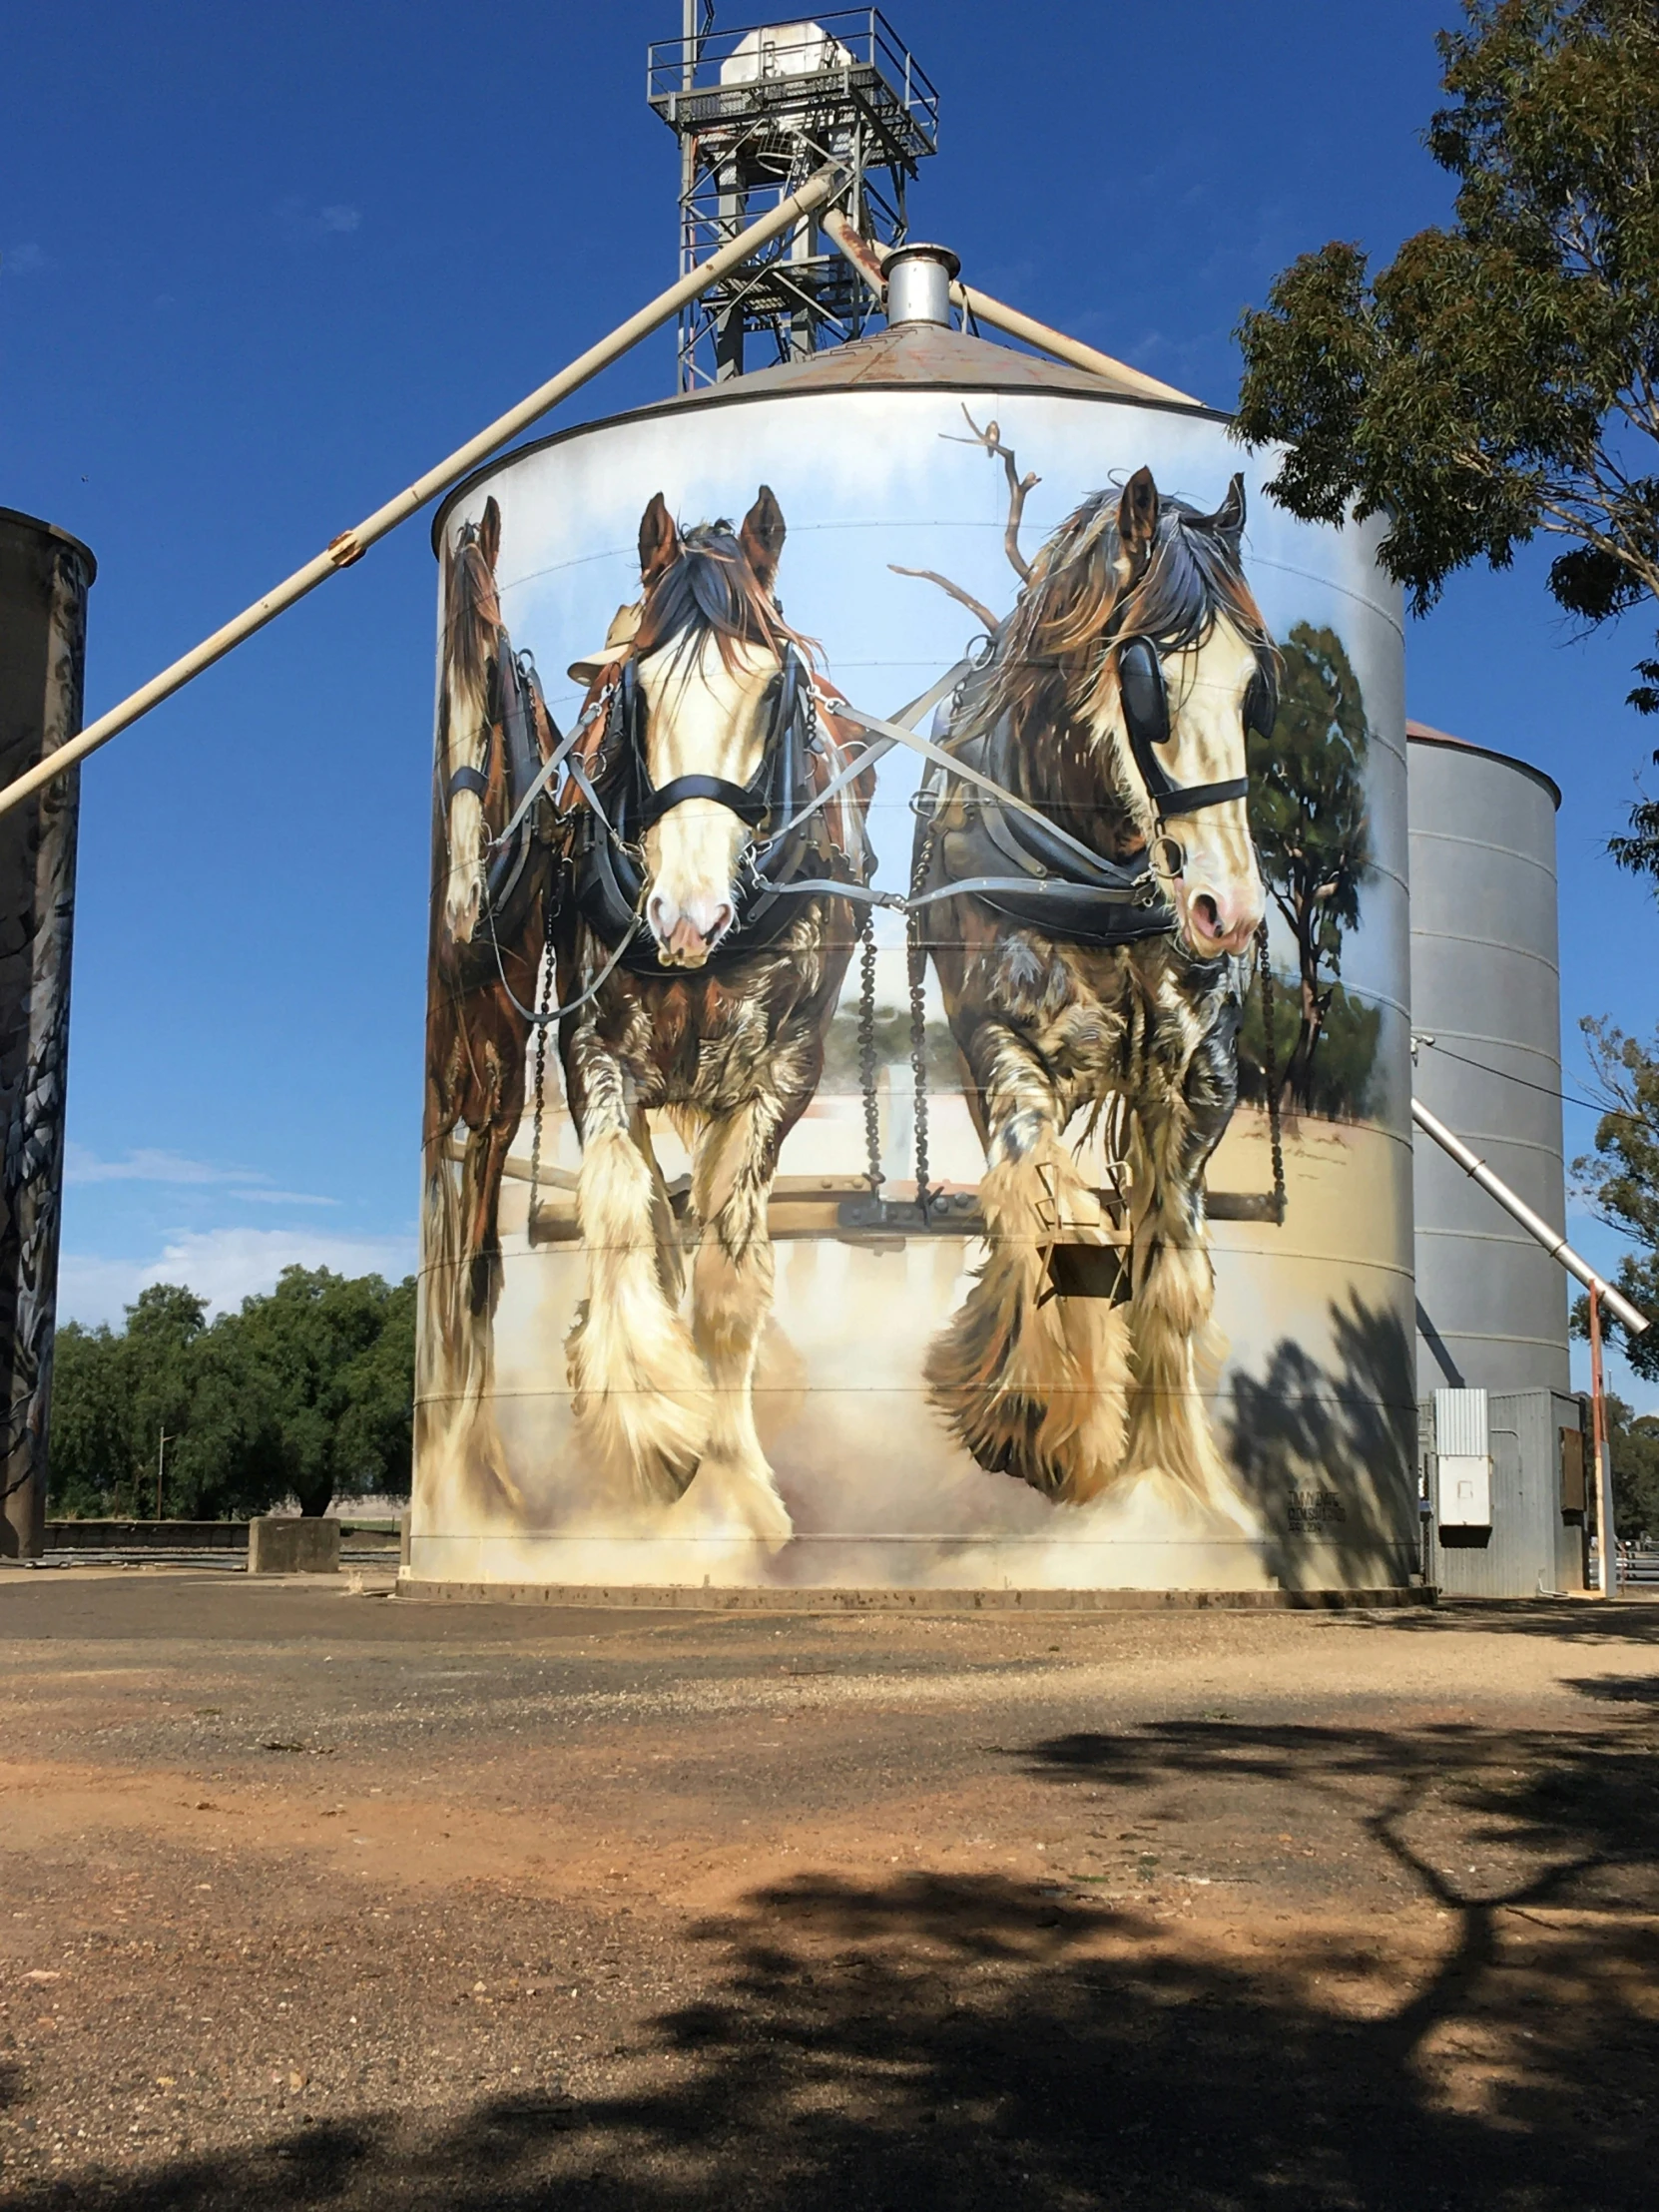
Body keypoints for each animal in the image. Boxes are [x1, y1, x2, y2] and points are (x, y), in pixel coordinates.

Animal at [555, 490, 871, 1548]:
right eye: (635, 688)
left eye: (773, 689)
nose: (687, 917)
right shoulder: (593, 1052)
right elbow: (625, 1217)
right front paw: (650, 1419)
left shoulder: (783, 1073)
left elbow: (731, 1280)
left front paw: (734, 1483)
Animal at [915, 466, 1283, 1521]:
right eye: (1144, 677)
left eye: (1257, 687)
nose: (1229, 911)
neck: (1098, 875)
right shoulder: (1002, 1047)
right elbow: (1050, 1218)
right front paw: (1036, 1422)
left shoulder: (1199, 1076)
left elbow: (1174, 1275)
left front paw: (1181, 1471)